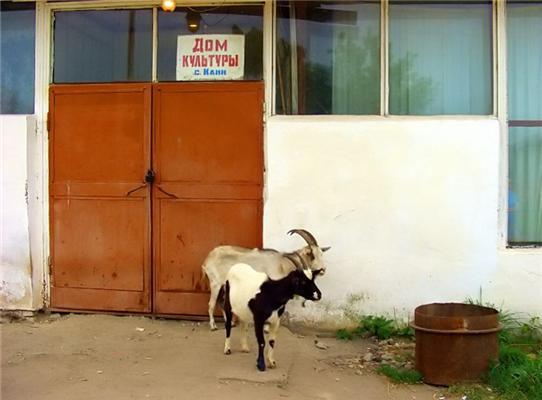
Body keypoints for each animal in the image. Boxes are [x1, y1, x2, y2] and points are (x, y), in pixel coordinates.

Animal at [202, 230, 330, 330]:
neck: (283, 264)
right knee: (211, 304)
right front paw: (267, 328)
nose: (323, 269)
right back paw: (213, 326)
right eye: (312, 255)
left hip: (224, 285)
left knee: (221, 303)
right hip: (215, 284)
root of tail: (207, 259)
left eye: (321, 254)